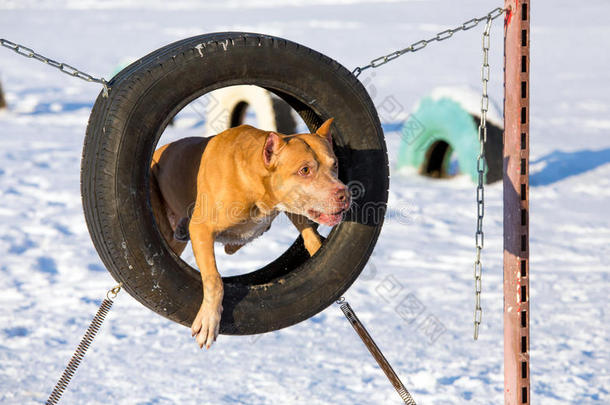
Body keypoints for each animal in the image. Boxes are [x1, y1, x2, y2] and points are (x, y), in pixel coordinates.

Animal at [150, 117, 350, 348]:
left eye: (335, 164)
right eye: (305, 170)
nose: (344, 194)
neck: (254, 176)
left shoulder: (287, 204)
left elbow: (307, 228)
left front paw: (318, 250)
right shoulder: (202, 229)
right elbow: (214, 279)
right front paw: (209, 320)